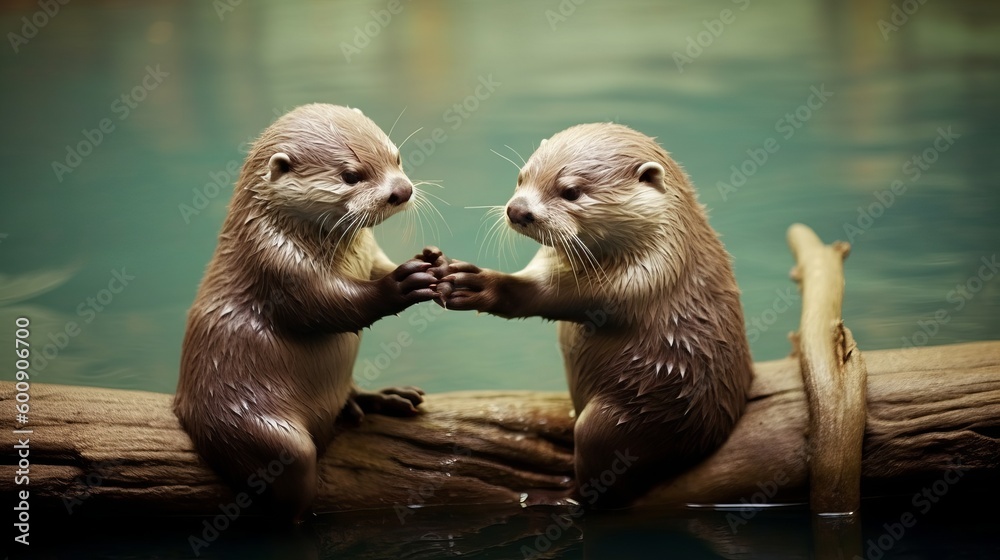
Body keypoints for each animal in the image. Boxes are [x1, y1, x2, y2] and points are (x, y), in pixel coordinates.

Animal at [174, 104, 445, 520]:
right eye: (351, 175)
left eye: (397, 157)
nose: (402, 191)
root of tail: (185, 408)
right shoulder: (276, 264)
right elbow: (328, 306)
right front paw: (401, 283)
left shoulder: (368, 254)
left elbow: (377, 269)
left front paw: (433, 261)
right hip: (242, 424)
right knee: (292, 463)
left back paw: (381, 398)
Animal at [440, 123, 753, 507]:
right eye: (521, 178)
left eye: (571, 192)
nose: (518, 210)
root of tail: (708, 435)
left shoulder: (642, 280)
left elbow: (543, 297)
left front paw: (480, 284)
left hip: (620, 423)